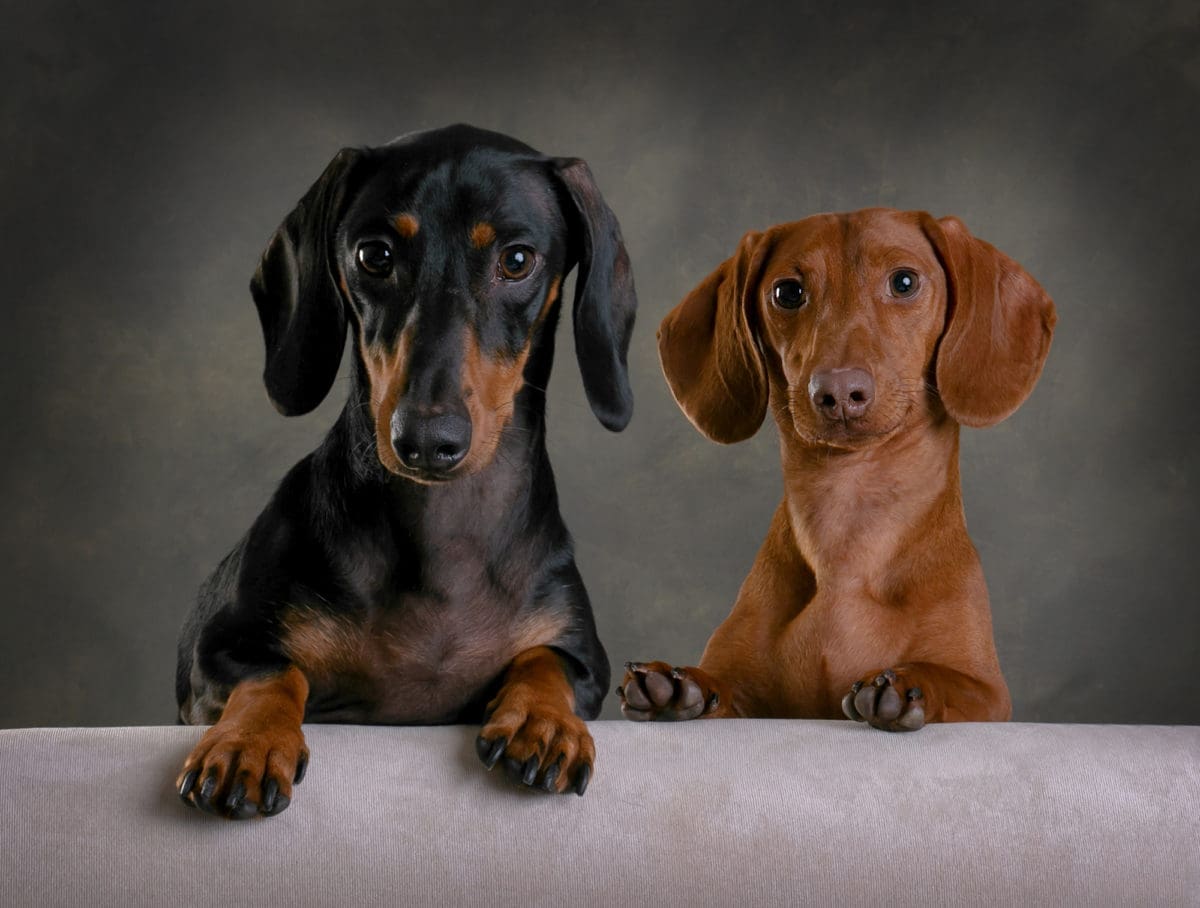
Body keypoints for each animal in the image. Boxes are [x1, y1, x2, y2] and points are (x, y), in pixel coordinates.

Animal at [175, 124, 638, 820]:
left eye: (518, 260)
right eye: (375, 255)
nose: (425, 441)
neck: (442, 541)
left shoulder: (585, 657)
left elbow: (546, 659)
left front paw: (543, 722)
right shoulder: (213, 653)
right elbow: (273, 671)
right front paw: (246, 744)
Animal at [619, 207, 1051, 729]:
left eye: (904, 282)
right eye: (787, 292)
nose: (839, 391)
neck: (847, 524)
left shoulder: (988, 695)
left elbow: (942, 676)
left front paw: (908, 684)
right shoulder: (753, 697)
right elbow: (722, 687)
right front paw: (684, 683)